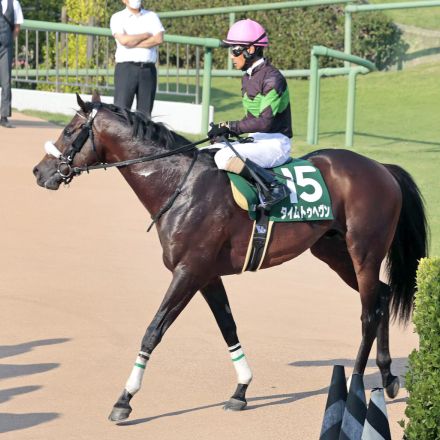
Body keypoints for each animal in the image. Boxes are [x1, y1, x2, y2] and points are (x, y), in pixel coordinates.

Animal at [31, 94, 426, 422]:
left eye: (70, 131)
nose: (40, 171)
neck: (179, 184)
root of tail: (382, 168)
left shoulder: (188, 271)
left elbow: (153, 331)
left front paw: (124, 399)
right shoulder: (207, 274)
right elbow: (228, 327)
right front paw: (241, 389)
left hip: (364, 251)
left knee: (368, 312)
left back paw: (357, 383)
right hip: (333, 252)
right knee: (383, 296)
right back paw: (387, 375)